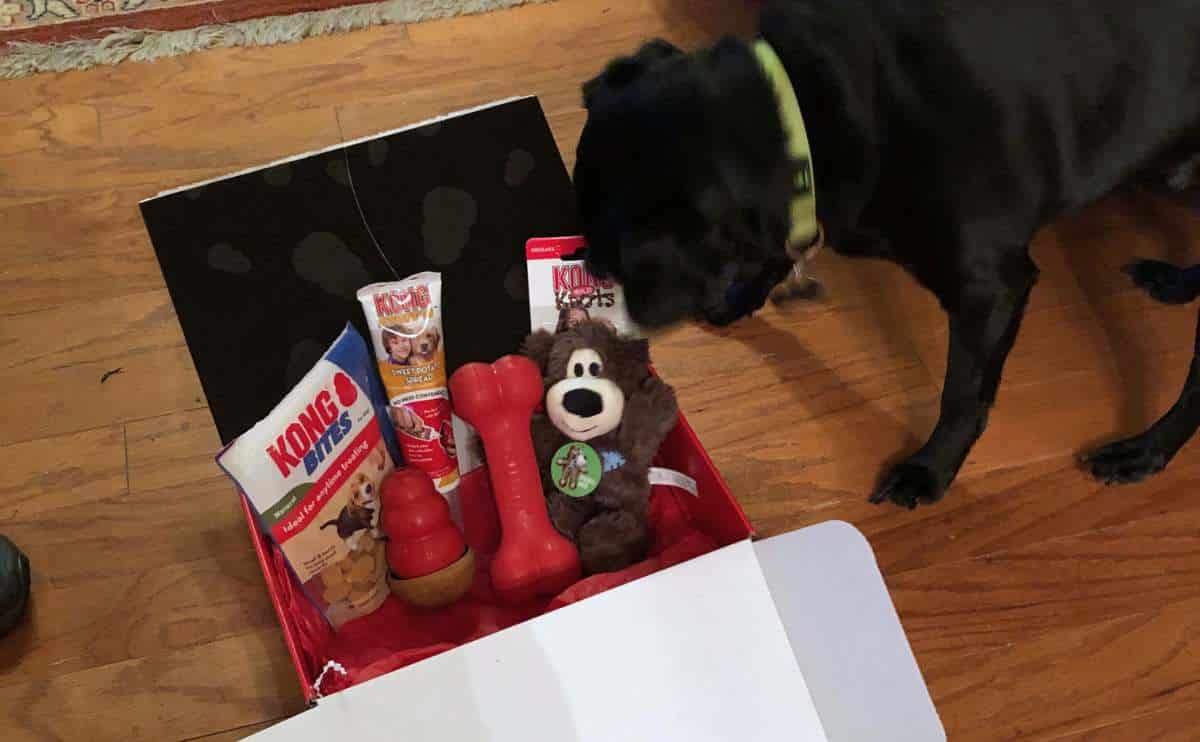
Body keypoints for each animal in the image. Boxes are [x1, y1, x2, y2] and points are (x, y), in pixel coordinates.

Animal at [573, 0, 1200, 506]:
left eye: (611, 254)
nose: (587, 265)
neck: (806, 104)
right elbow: (772, 250)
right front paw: (737, 300)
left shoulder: (991, 288)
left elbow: (962, 396)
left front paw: (929, 471)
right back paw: (1176, 281)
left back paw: (1144, 452)